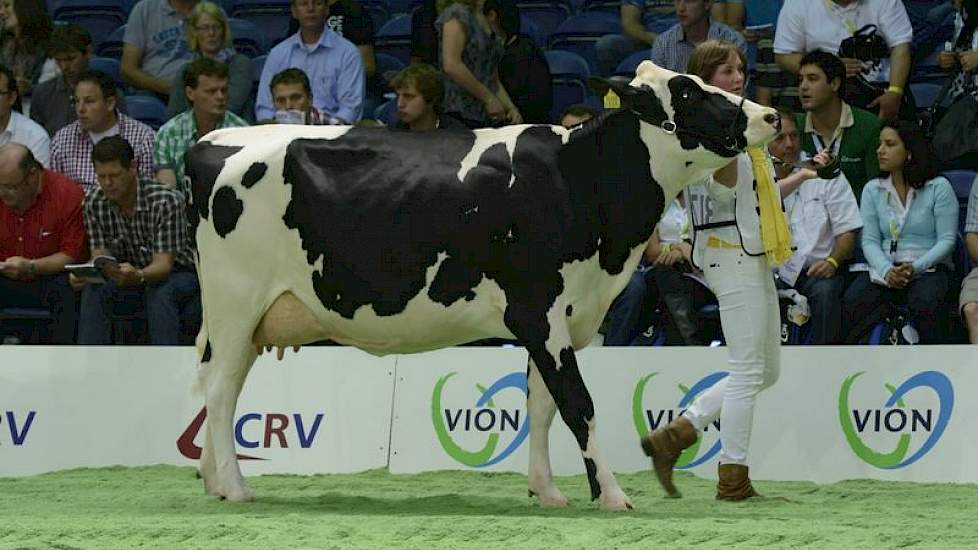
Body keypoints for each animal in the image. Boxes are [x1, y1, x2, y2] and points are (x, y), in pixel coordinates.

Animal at [183, 61, 776, 512]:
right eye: (687, 91)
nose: (770, 114)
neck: (581, 179)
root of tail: (213, 139)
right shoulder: (539, 309)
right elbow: (577, 403)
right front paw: (610, 495)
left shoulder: (564, 317)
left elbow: (542, 405)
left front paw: (548, 492)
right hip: (237, 302)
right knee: (219, 392)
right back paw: (236, 488)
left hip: (242, 319)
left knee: (220, 386)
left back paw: (213, 481)